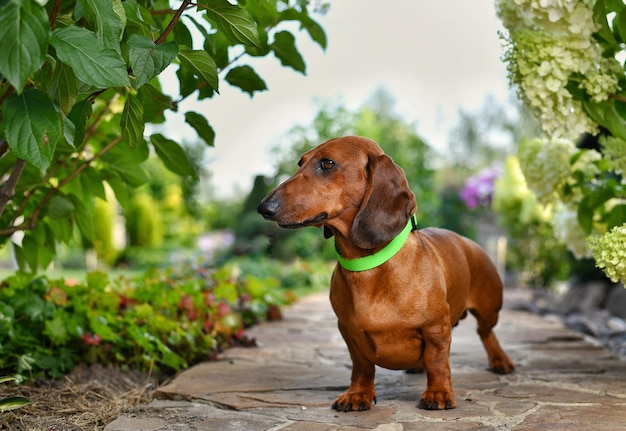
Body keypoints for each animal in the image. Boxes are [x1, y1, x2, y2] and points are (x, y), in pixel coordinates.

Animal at [255, 136, 512, 412]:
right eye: (300, 163)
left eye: (327, 163)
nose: (263, 207)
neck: (367, 266)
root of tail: (471, 243)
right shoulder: (349, 333)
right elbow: (362, 367)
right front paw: (358, 394)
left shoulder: (436, 329)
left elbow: (438, 363)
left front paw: (438, 393)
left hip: (489, 309)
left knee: (485, 333)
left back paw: (500, 360)